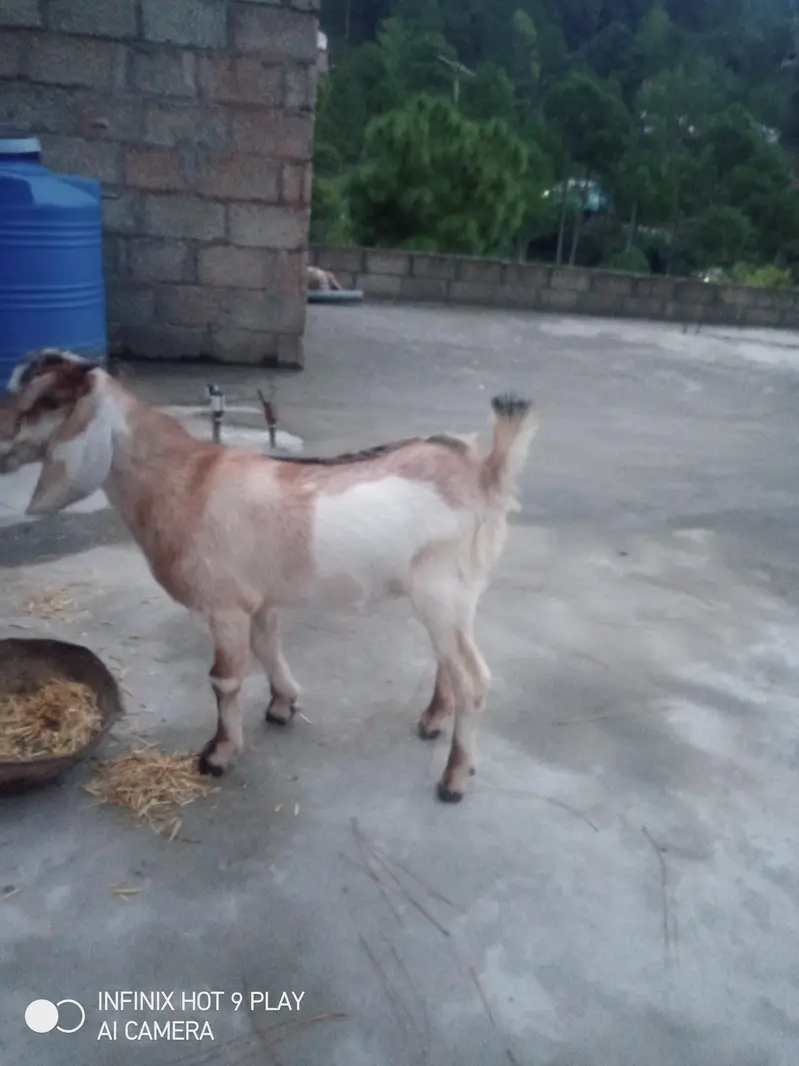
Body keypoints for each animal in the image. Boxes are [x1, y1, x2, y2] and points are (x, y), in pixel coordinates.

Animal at [0, 349, 537, 802]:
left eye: (48, 400)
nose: (1, 444)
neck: (187, 481)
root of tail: (486, 472)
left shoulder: (223, 605)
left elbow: (224, 679)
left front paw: (217, 754)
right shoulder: (258, 599)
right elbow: (267, 645)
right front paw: (283, 705)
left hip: (442, 591)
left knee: (474, 679)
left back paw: (454, 778)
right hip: (453, 598)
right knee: (449, 661)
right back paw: (432, 720)